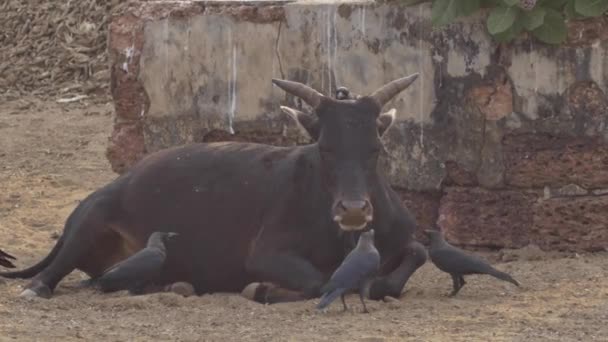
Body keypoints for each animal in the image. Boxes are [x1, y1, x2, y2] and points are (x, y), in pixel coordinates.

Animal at [1, 72, 428, 302]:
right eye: (324, 148)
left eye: (375, 149)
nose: (354, 210)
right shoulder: (266, 254)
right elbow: (316, 280)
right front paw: (262, 290)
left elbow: (412, 259)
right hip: (89, 224)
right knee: (50, 274)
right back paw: (37, 288)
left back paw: (173, 284)